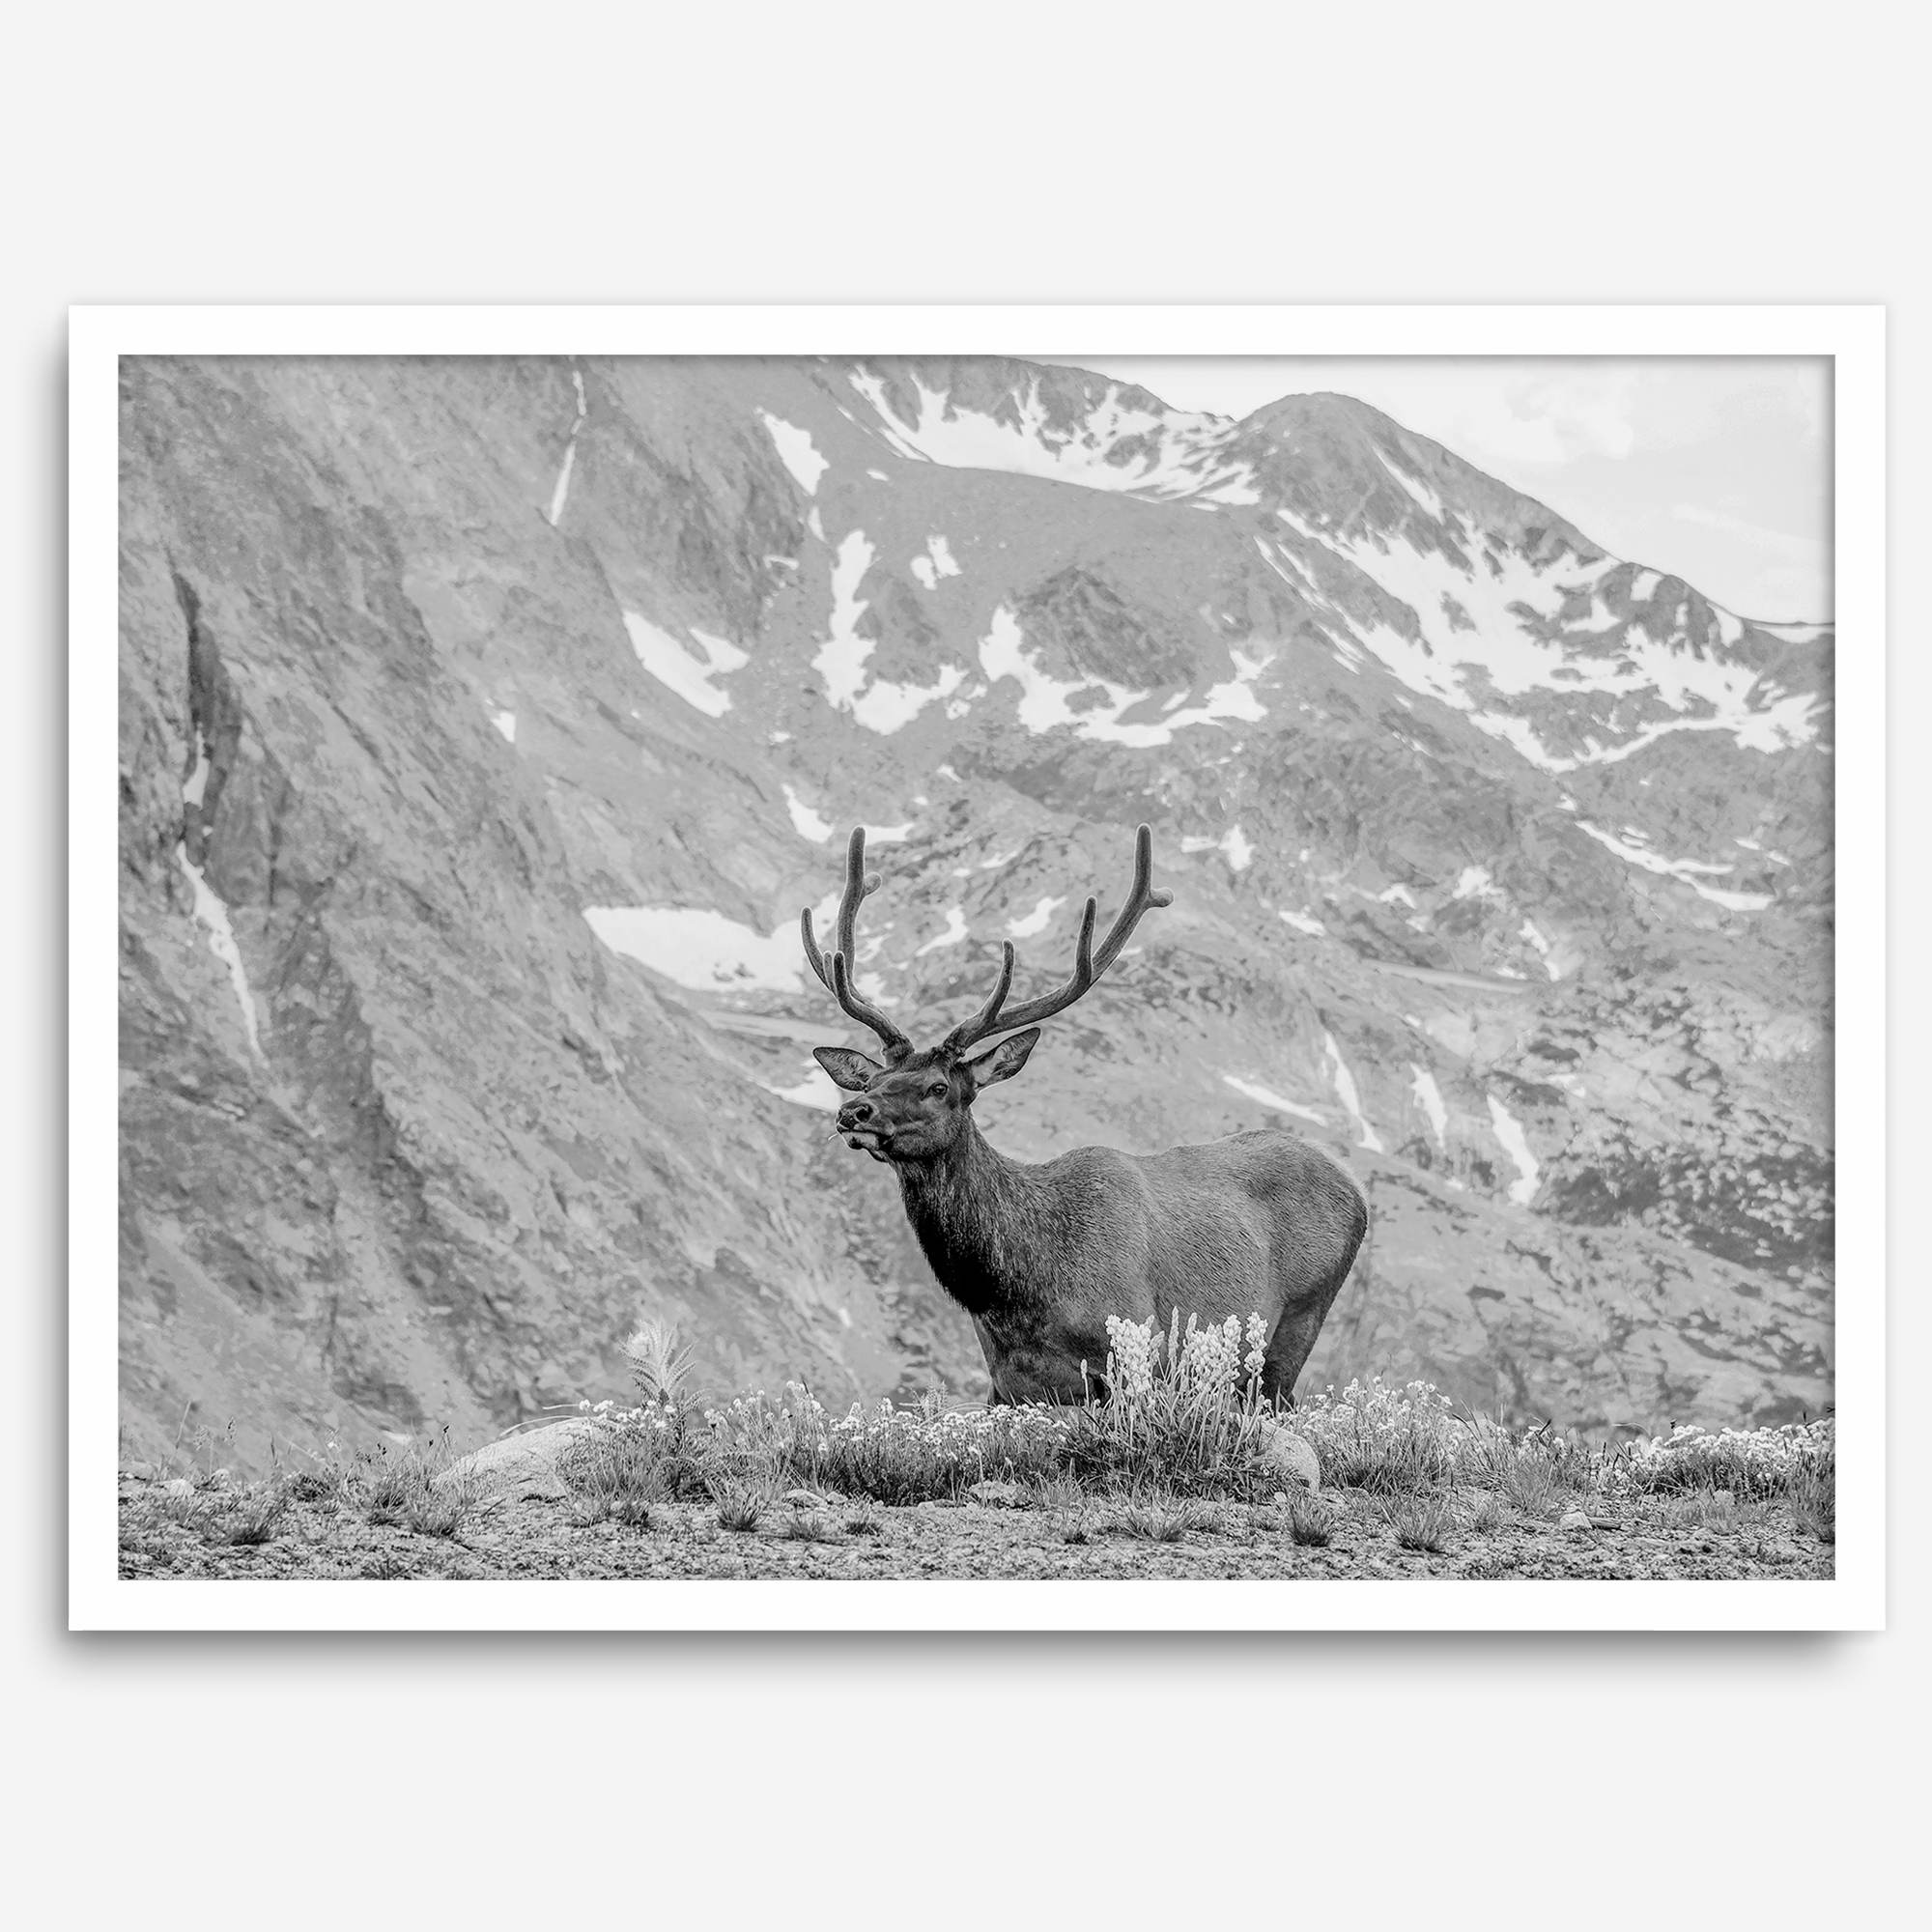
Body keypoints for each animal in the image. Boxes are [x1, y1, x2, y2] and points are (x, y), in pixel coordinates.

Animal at [803, 823, 1368, 1407]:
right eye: (871, 1081)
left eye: (939, 1087)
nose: (853, 1111)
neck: (1015, 1296)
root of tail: (1354, 1187)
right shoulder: (1006, 1385)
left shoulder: (1137, 1350)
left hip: (1298, 1322)